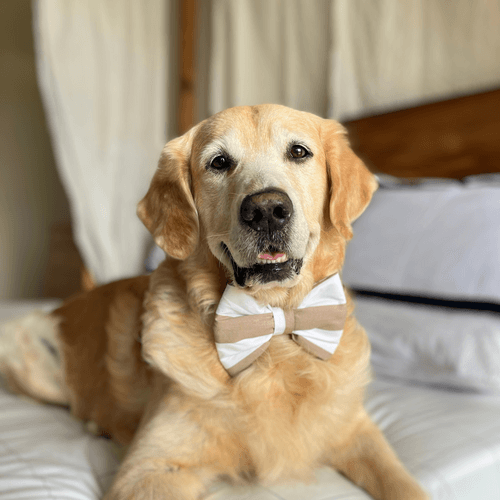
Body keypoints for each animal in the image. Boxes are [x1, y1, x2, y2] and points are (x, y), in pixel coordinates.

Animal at [1, 103, 428, 498]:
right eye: (219, 162)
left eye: (299, 152)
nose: (267, 210)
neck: (272, 325)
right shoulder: (150, 468)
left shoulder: (355, 428)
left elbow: (405, 484)